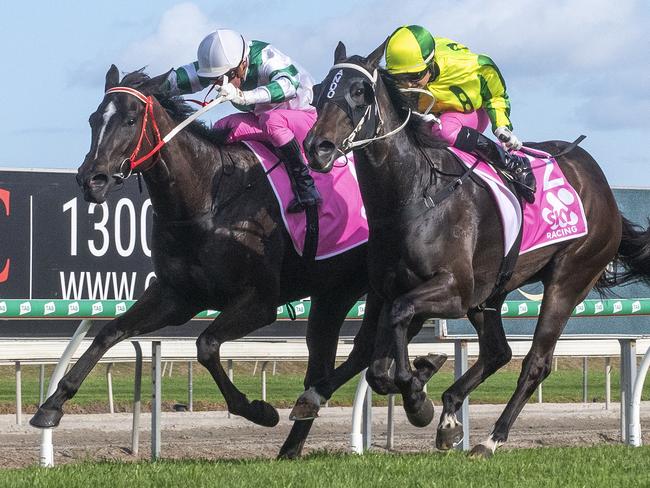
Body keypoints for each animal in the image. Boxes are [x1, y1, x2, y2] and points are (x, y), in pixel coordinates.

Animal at [27, 66, 448, 460]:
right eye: (94, 119)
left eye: (130, 120)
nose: (91, 179)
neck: (210, 197)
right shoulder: (177, 297)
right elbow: (109, 333)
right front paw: (51, 405)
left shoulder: (259, 302)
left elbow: (207, 344)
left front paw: (258, 409)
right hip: (335, 293)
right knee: (335, 358)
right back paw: (294, 443)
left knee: (371, 345)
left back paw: (417, 383)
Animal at [302, 43, 648, 458]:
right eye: (319, 92)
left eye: (358, 92)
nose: (316, 147)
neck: (415, 196)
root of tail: (601, 185)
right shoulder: (387, 291)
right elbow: (374, 363)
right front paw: (418, 380)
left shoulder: (453, 291)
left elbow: (396, 330)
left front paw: (417, 394)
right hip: (490, 293)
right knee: (498, 352)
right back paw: (450, 415)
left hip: (569, 278)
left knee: (536, 362)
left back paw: (490, 438)